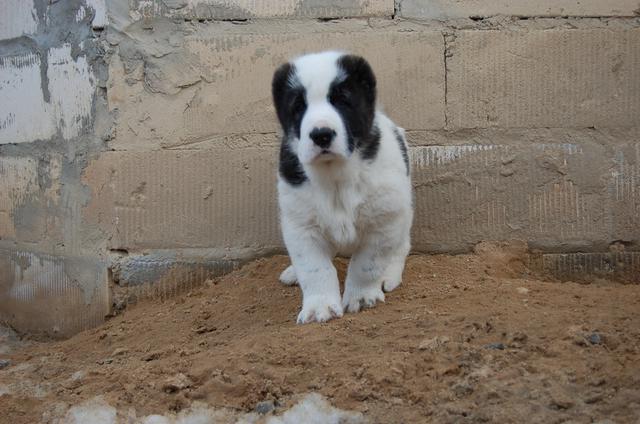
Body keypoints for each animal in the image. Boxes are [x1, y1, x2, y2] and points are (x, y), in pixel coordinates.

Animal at [272, 51, 412, 322]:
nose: (321, 134)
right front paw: (319, 307)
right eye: (298, 107)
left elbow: (367, 264)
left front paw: (362, 297)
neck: (334, 175)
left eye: (342, 101)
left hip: (403, 212)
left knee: (401, 245)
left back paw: (389, 275)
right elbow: (315, 268)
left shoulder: (383, 220)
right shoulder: (301, 226)